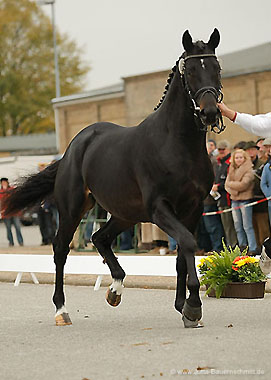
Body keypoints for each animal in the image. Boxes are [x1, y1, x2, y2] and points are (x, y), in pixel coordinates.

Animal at [3, 29, 225, 326]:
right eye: (190, 71)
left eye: (216, 68)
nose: (210, 112)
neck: (176, 144)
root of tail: (73, 147)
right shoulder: (159, 209)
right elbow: (188, 243)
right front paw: (192, 306)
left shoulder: (193, 208)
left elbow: (183, 252)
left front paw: (184, 306)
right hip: (73, 209)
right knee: (61, 249)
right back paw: (62, 310)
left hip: (125, 213)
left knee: (100, 238)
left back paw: (115, 289)